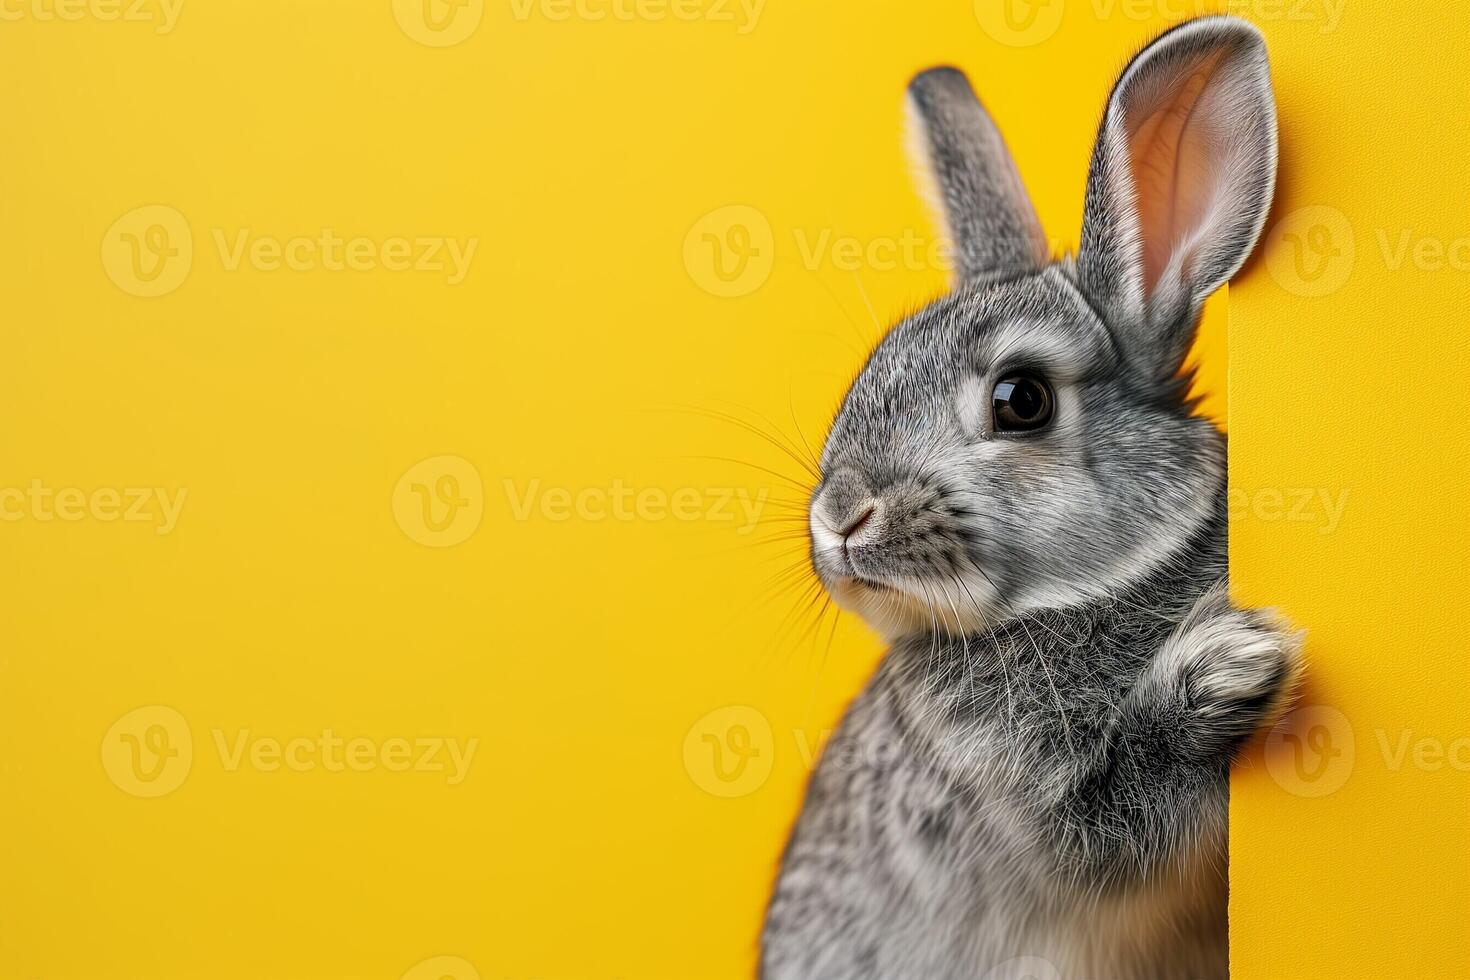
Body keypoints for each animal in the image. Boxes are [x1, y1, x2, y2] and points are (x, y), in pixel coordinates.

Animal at [764, 17, 1305, 980]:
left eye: (1022, 400)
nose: (840, 517)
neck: (1092, 593)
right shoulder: (1044, 809)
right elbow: (1120, 819)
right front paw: (1231, 668)